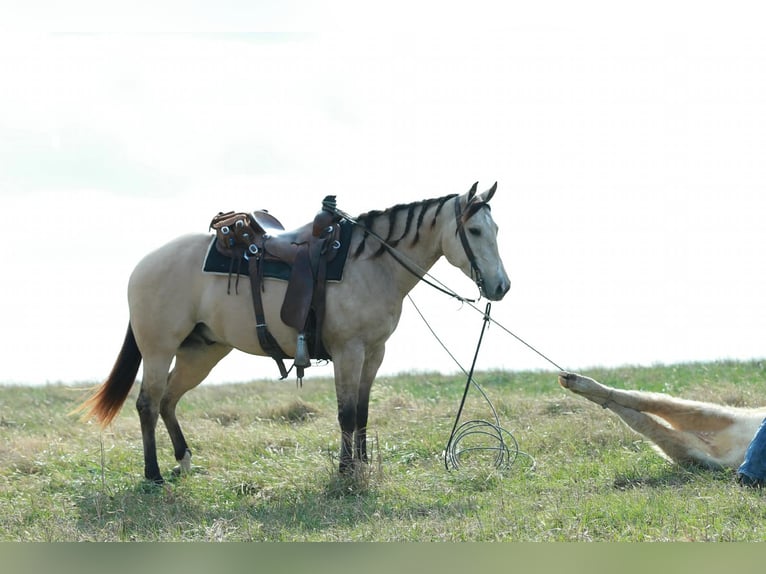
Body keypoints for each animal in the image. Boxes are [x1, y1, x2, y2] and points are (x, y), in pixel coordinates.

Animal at [77, 183, 510, 483]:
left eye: (496, 229)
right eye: (474, 230)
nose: (501, 286)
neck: (371, 263)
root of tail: (143, 265)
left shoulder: (374, 353)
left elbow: (363, 413)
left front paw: (363, 465)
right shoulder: (348, 351)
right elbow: (346, 414)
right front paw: (345, 472)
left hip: (201, 352)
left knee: (168, 400)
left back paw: (183, 460)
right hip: (158, 349)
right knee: (148, 404)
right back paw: (153, 476)